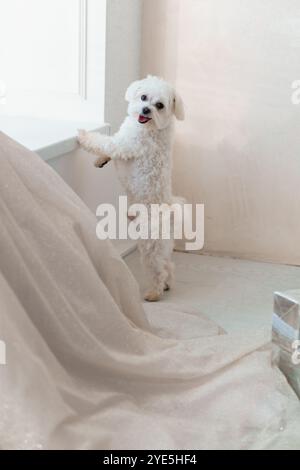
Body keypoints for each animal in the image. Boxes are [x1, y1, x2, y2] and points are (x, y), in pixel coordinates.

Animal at [78, 73, 184, 302]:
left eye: (160, 105)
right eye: (143, 97)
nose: (145, 110)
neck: (151, 128)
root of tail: (170, 211)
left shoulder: (125, 144)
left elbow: (103, 142)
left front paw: (83, 136)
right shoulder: (121, 142)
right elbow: (107, 150)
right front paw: (100, 160)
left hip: (150, 242)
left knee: (157, 268)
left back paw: (154, 292)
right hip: (163, 245)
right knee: (168, 265)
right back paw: (168, 284)